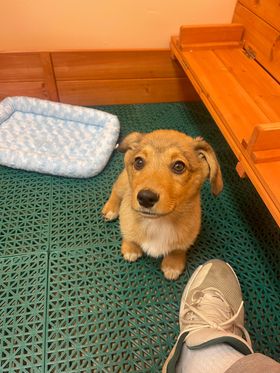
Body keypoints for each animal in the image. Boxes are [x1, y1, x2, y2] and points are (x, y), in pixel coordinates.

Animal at [101, 129, 222, 278]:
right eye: (139, 162)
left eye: (179, 166)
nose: (145, 198)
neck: (158, 223)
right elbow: (129, 235)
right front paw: (131, 248)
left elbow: (178, 249)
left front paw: (173, 264)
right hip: (124, 183)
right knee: (116, 191)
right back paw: (111, 208)